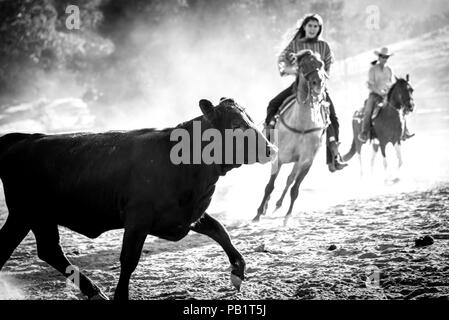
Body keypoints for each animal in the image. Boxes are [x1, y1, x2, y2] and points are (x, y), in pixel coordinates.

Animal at [252, 50, 328, 225]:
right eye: (303, 65)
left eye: (320, 64)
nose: (318, 83)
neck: (302, 125)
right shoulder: (278, 158)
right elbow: (269, 186)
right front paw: (257, 214)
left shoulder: (306, 162)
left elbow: (295, 189)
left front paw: (287, 217)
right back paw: (266, 207)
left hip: (297, 163)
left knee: (290, 179)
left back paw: (278, 205)